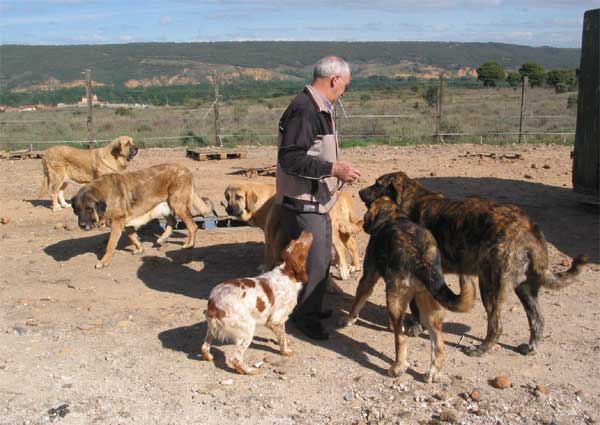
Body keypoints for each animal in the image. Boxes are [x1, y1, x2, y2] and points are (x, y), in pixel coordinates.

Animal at [70, 163, 212, 268]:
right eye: (77, 209)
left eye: (89, 209)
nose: (82, 225)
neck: (105, 194)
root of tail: (187, 170)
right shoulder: (126, 224)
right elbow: (133, 237)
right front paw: (139, 249)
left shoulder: (117, 223)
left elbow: (110, 245)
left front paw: (104, 261)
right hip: (165, 207)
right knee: (172, 221)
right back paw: (162, 239)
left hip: (177, 205)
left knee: (192, 226)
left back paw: (189, 245)